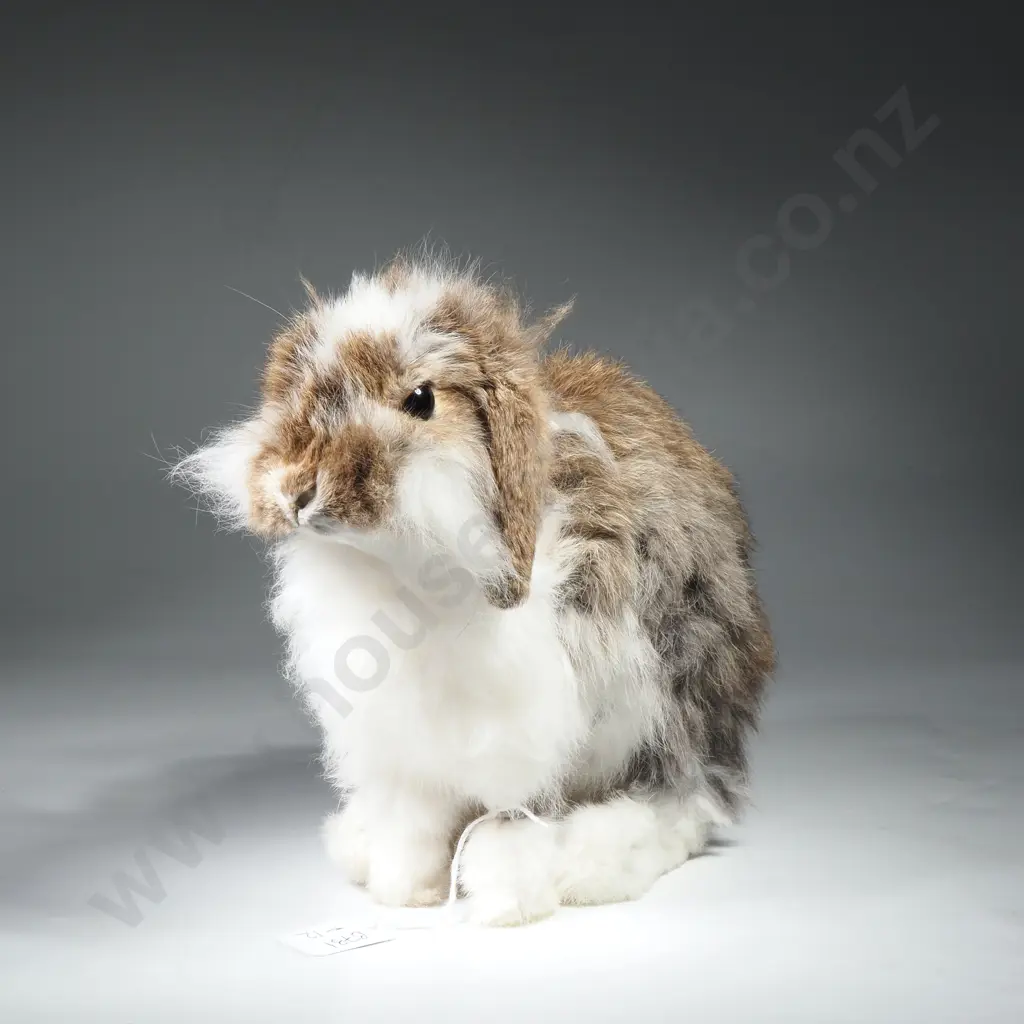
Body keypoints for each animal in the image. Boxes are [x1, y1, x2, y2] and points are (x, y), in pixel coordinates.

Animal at [173, 250, 776, 926]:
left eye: (421, 400)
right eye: (303, 390)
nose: (298, 489)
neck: (398, 570)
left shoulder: (528, 729)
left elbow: (515, 821)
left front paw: (504, 896)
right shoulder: (405, 742)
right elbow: (415, 818)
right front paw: (405, 888)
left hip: (672, 695)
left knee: (684, 796)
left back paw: (593, 862)